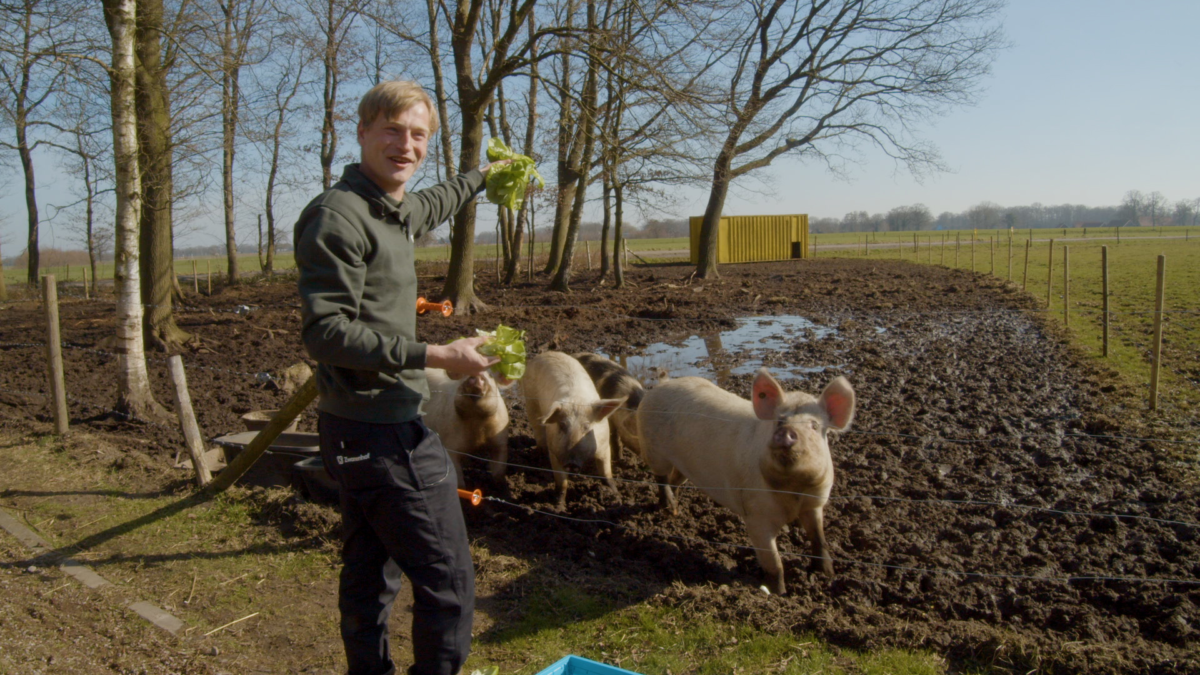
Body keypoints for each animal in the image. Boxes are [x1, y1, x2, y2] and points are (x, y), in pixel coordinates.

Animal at [518, 353, 624, 504]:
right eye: (562, 425)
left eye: (587, 426)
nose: (571, 463)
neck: (577, 401)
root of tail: (545, 354)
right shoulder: (555, 451)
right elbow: (562, 483)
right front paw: (558, 505)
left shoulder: (604, 446)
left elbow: (606, 473)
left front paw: (617, 496)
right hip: (531, 403)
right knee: (538, 430)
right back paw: (541, 454)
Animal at [638, 367, 854, 593]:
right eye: (779, 421)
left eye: (814, 425)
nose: (786, 432)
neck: (793, 489)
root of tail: (662, 384)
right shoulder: (756, 515)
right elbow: (773, 562)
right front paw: (778, 593)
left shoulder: (815, 502)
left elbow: (818, 538)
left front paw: (828, 574)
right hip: (653, 448)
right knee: (661, 478)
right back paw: (669, 508)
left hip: (682, 465)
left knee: (674, 480)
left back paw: (676, 511)